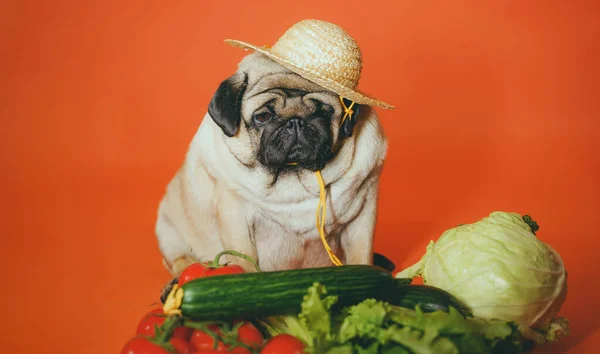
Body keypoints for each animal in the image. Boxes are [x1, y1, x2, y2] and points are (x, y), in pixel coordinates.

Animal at [155, 52, 390, 276]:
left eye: (323, 112)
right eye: (263, 116)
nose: (295, 121)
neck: (294, 179)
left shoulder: (363, 214)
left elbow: (361, 255)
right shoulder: (236, 220)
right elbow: (243, 259)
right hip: (168, 230)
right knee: (178, 260)